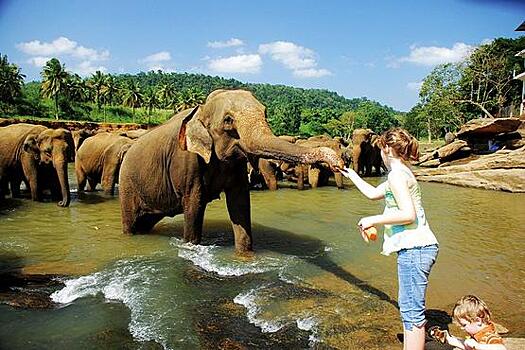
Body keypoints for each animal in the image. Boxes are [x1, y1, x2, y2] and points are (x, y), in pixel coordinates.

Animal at [117, 89, 344, 253]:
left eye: (265, 113)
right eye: (228, 120)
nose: (339, 162)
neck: (201, 109)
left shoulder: (237, 165)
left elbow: (239, 203)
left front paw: (245, 255)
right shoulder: (188, 162)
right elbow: (194, 205)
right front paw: (191, 246)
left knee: (145, 222)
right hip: (128, 186)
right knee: (131, 224)